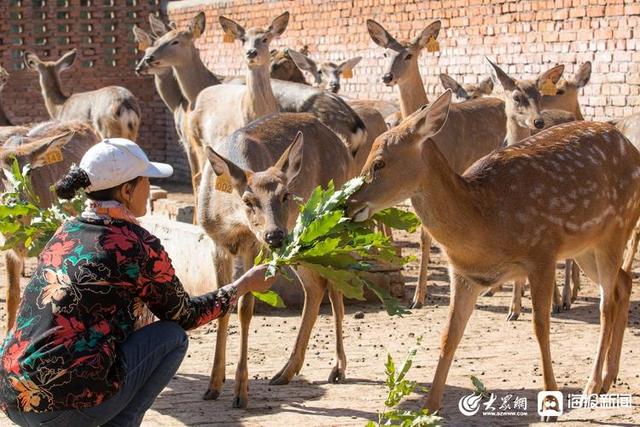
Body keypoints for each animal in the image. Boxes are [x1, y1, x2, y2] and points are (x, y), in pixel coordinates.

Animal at [198, 113, 352, 408]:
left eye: (285, 195)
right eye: (248, 200)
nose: (275, 235)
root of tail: (344, 145)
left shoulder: (253, 247)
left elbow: (245, 308)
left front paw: (241, 392)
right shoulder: (216, 243)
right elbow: (222, 303)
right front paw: (213, 385)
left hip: (334, 217)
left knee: (336, 283)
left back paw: (337, 368)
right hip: (302, 239)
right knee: (316, 286)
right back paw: (286, 372)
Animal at [348, 90, 640, 422]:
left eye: (379, 162)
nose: (348, 204)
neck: (485, 220)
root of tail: (631, 148)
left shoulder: (542, 253)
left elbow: (540, 327)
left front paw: (550, 406)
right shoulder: (464, 274)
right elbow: (450, 334)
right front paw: (429, 406)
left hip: (616, 227)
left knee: (607, 303)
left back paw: (592, 385)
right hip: (585, 246)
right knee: (623, 283)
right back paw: (609, 378)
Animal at [368, 18, 508, 310]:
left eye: (409, 54)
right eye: (385, 53)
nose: (387, 77)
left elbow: (426, 235)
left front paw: (418, 298)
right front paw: (417, 296)